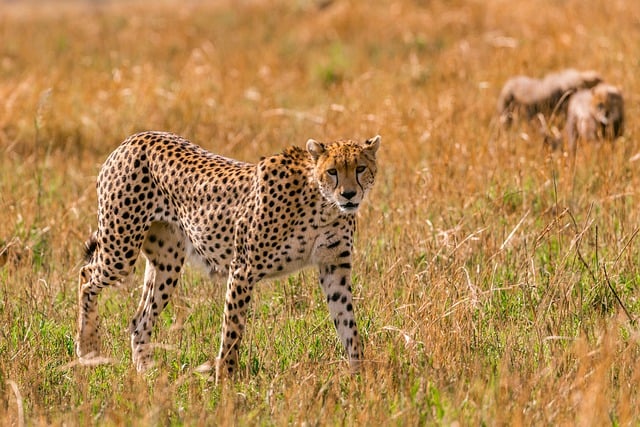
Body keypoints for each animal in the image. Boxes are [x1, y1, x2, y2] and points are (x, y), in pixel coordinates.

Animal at [77, 130, 382, 382]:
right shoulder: (242, 269)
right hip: (121, 249)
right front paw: (224, 383)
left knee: (139, 320)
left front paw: (359, 376)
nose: (349, 195)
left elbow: (348, 324)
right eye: (332, 171)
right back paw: (88, 348)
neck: (323, 205)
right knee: (86, 275)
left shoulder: (334, 268)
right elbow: (232, 331)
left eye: (360, 168)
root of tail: (134, 138)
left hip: (167, 262)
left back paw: (146, 373)